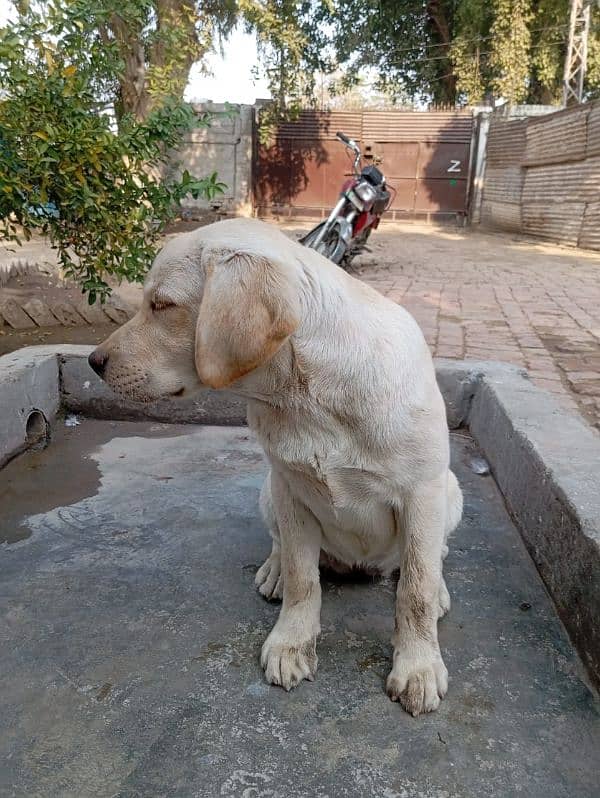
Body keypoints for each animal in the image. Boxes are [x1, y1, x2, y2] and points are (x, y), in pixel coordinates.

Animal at [90, 217, 464, 720]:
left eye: (162, 305)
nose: (94, 362)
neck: (307, 395)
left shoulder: (421, 493)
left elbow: (415, 591)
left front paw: (419, 665)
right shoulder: (292, 489)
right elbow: (304, 577)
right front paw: (292, 642)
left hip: (450, 491)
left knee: (429, 559)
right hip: (268, 488)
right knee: (281, 546)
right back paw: (274, 572)